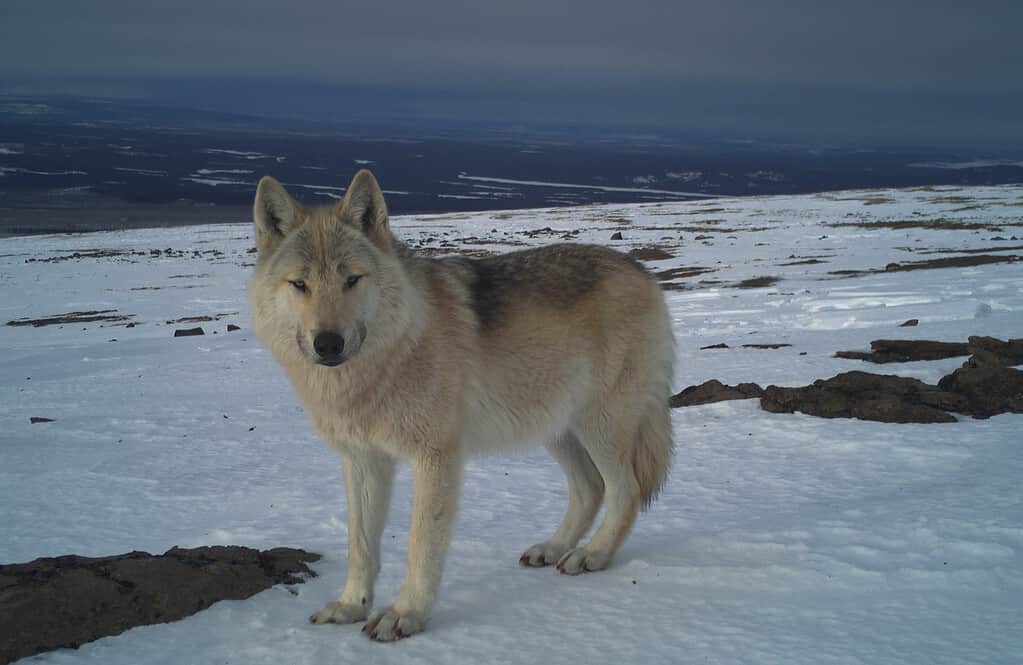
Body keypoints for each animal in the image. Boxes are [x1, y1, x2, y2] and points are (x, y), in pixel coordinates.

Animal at [250, 169, 675, 638]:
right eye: (300, 284)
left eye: (351, 280)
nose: (327, 344)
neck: (390, 355)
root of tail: (642, 271)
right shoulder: (363, 461)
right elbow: (360, 545)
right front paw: (350, 606)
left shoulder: (436, 458)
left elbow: (420, 544)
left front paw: (405, 614)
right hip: (555, 429)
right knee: (589, 489)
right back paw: (553, 548)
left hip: (599, 427)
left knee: (625, 490)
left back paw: (592, 555)